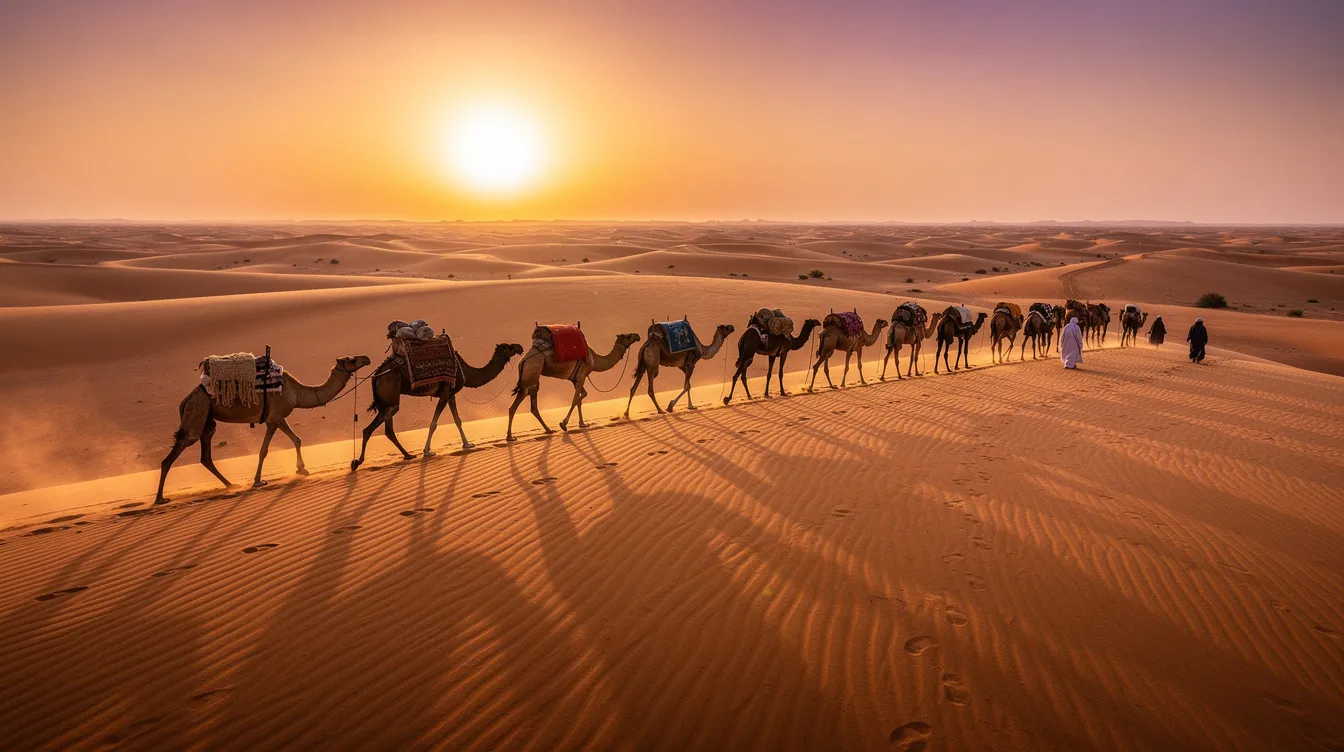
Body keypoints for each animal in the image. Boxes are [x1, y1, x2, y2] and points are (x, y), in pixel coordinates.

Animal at [155, 353, 371, 504]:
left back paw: (230, 484)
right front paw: (258, 481)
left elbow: (297, 439)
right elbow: (263, 450)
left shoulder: (279, 417)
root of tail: (186, 400)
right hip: (197, 412)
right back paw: (160, 499)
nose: (367, 358)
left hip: (207, 419)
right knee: (173, 455)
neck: (297, 392)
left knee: (206, 456)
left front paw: (302, 469)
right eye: (352, 359)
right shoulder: (273, 420)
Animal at [351, 342, 524, 470]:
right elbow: (434, 423)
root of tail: (376, 375)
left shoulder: (452, 394)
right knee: (369, 429)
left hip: (387, 402)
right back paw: (357, 462)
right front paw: (427, 451)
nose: (520, 347)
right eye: (509, 346)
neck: (465, 371)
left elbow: (458, 420)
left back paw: (407, 455)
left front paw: (467, 444)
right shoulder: (445, 393)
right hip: (390, 393)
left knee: (388, 430)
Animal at [507, 330, 641, 440]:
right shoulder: (582, 375)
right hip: (531, 373)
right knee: (519, 405)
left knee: (529, 407)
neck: (595, 359)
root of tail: (523, 361)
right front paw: (564, 424)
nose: (637, 336)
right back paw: (511, 437)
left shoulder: (574, 379)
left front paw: (582, 424)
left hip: (530, 379)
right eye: (628, 336)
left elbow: (581, 397)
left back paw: (546, 430)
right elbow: (576, 398)